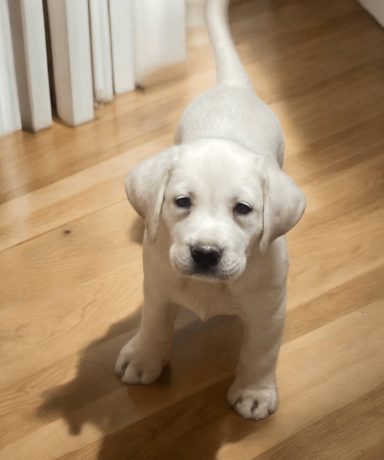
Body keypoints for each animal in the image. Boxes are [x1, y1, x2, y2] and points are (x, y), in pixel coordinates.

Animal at [115, 0, 306, 420]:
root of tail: (233, 86)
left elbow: (260, 351)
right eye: (182, 202)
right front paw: (143, 358)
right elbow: (153, 325)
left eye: (243, 209)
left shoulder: (270, 309)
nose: (205, 253)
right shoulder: (157, 289)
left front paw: (255, 392)